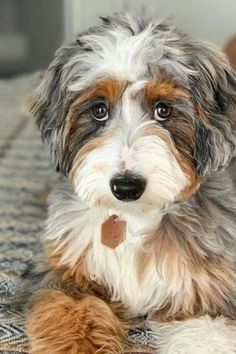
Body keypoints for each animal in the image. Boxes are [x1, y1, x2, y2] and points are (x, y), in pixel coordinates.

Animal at [23, 13, 236, 354]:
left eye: (163, 110)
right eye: (99, 110)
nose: (125, 187)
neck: (134, 219)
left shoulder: (206, 295)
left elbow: (205, 335)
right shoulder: (60, 276)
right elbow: (71, 312)